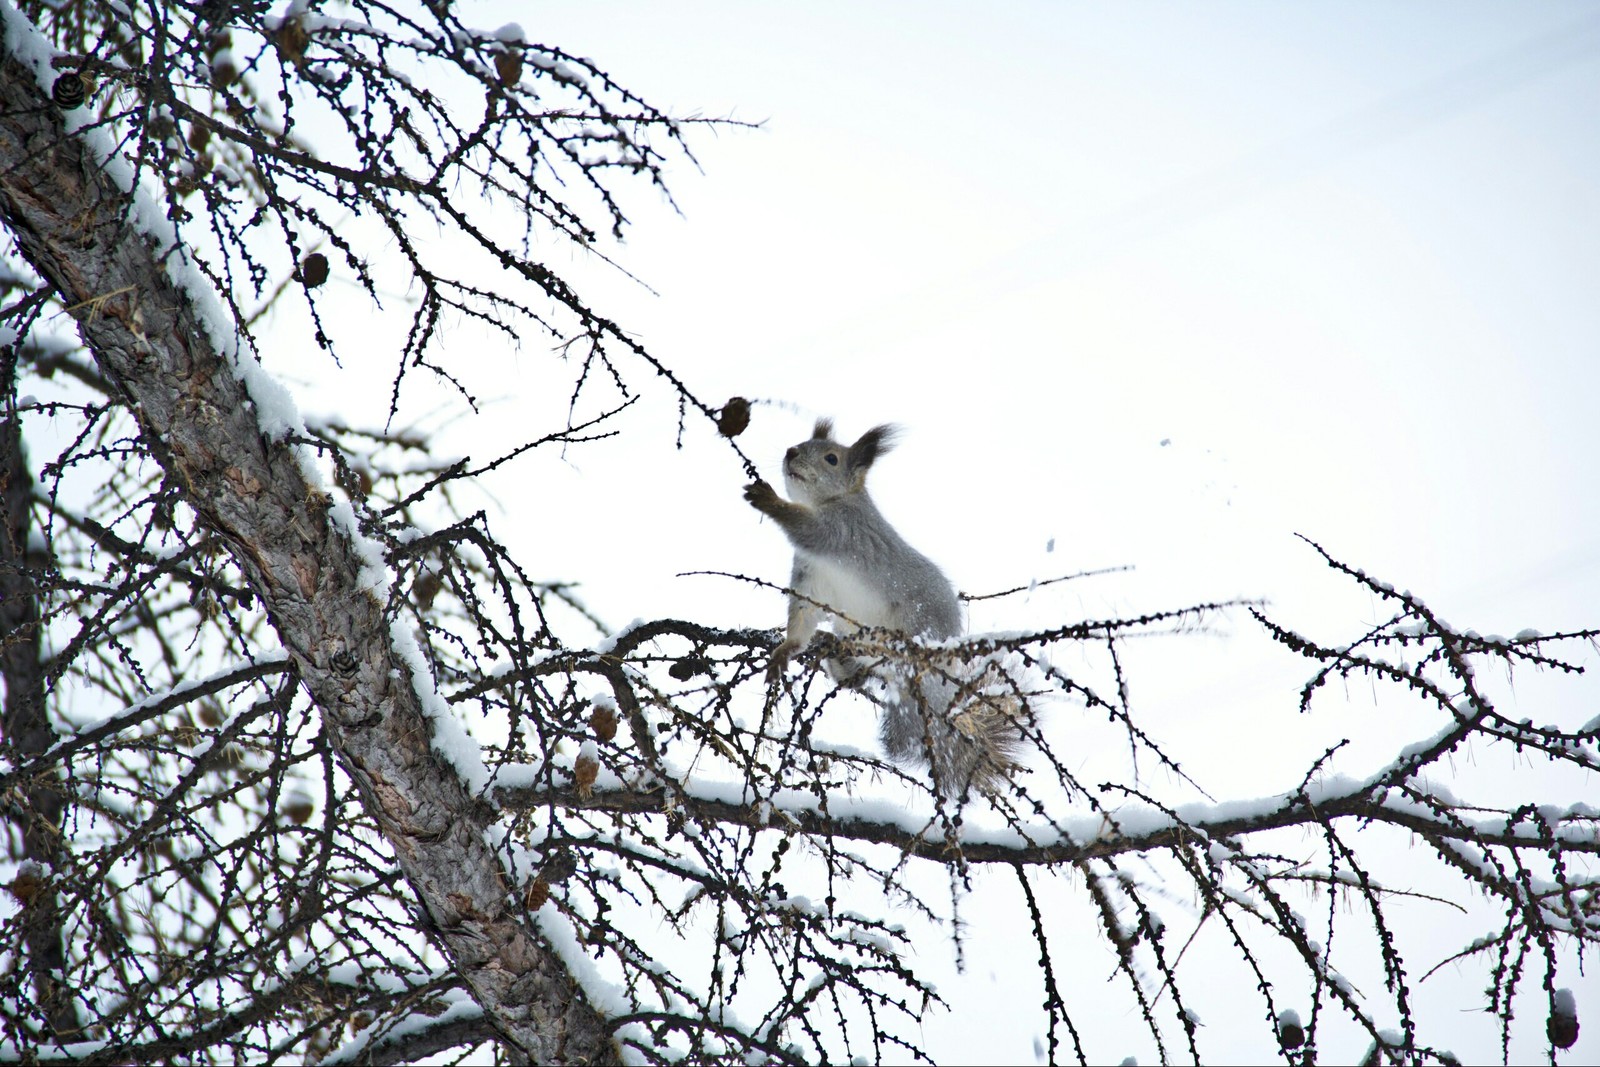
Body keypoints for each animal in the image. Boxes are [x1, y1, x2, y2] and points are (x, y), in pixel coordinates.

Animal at [739, 422, 1017, 796]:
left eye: (831, 458)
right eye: (804, 442)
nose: (791, 453)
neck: (832, 500)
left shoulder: (841, 531)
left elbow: (806, 528)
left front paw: (768, 500)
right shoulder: (809, 578)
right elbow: (803, 615)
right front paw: (787, 649)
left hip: (914, 629)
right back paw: (836, 653)